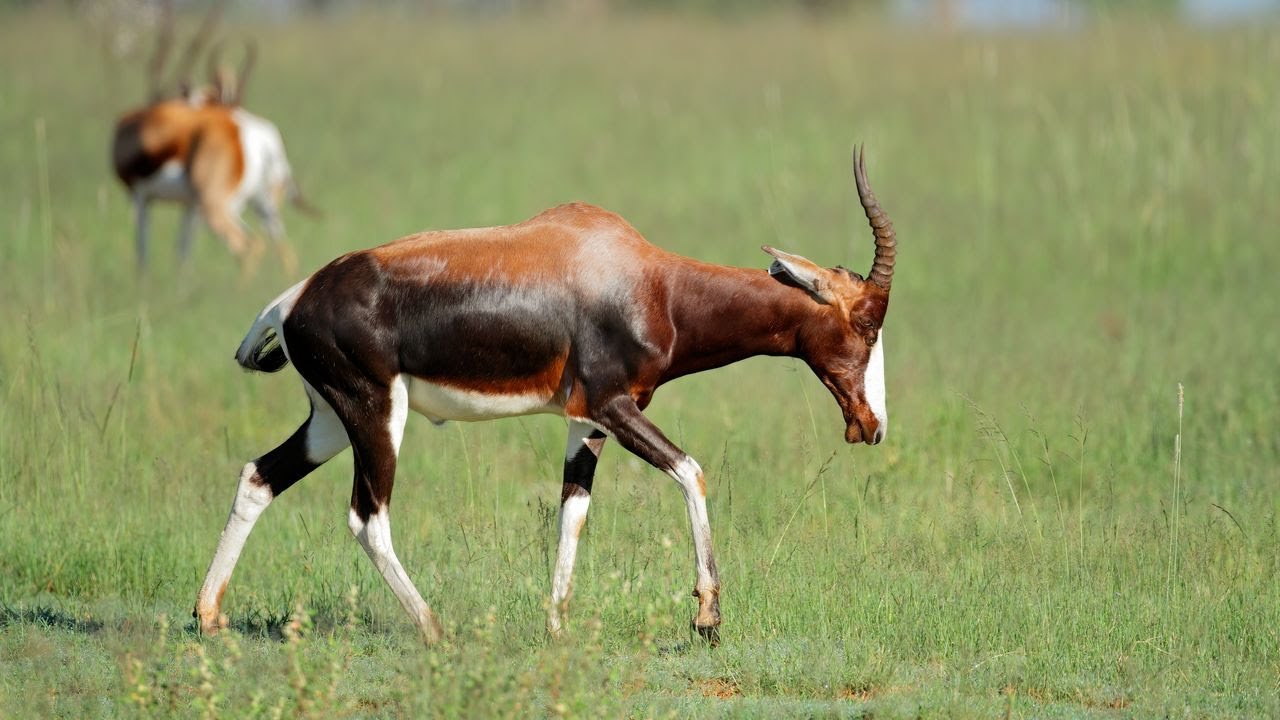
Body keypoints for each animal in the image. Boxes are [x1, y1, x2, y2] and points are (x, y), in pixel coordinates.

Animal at [110, 0, 309, 275]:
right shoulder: (188, 207)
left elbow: (143, 256)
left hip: (216, 206)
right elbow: (182, 254)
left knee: (249, 246)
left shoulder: (140, 197)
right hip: (263, 204)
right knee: (285, 252)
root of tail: (261, 139)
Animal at [194, 148, 897, 645]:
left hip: (331, 420)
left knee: (258, 477)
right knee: (368, 517)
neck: (648, 280)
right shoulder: (615, 406)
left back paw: (208, 616)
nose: (872, 425)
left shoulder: (585, 420)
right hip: (376, 414)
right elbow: (692, 471)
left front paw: (556, 626)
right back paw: (433, 628)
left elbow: (573, 511)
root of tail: (293, 299)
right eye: (866, 323)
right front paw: (706, 616)